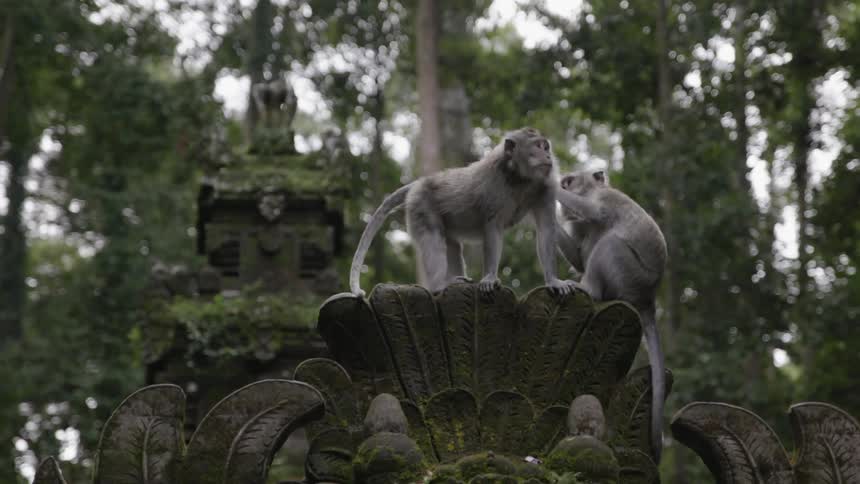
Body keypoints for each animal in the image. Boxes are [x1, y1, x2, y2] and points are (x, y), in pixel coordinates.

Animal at [349, 127, 576, 298]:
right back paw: (438, 286)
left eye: (545, 146)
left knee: (451, 244)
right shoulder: (493, 184)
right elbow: (493, 228)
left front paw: (553, 281)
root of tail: (421, 182)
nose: (548, 155)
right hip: (420, 203)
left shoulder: (545, 187)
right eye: (538, 146)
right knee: (433, 237)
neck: (518, 177)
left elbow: (546, 229)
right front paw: (490, 277)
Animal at [555, 169, 668, 461]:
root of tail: (648, 297)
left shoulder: (605, 199)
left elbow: (593, 212)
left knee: (610, 243)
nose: (563, 184)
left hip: (630, 275)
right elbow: (578, 257)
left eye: (570, 180)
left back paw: (589, 290)